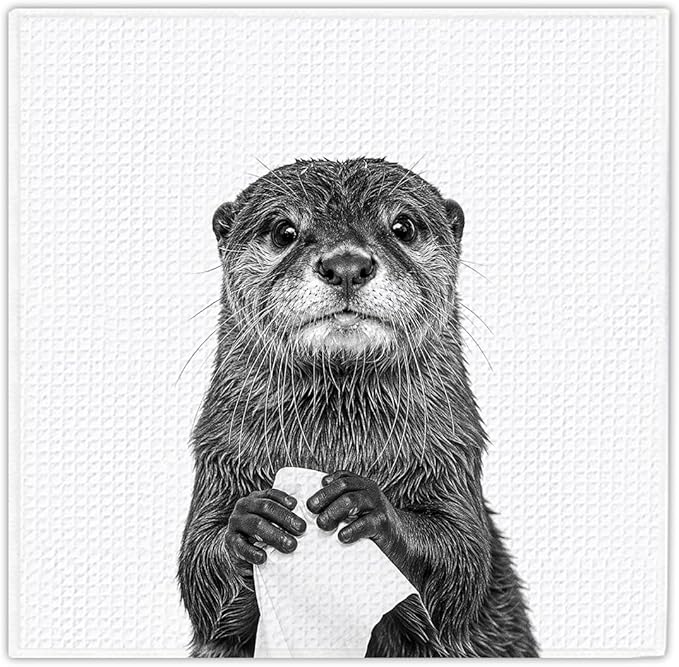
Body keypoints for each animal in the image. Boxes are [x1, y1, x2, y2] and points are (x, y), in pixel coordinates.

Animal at [178, 158, 538, 657]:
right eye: (284, 230)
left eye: (403, 226)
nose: (346, 263)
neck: (338, 442)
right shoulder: (220, 453)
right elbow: (199, 578)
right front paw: (251, 522)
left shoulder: (453, 453)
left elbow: (462, 564)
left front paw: (366, 505)